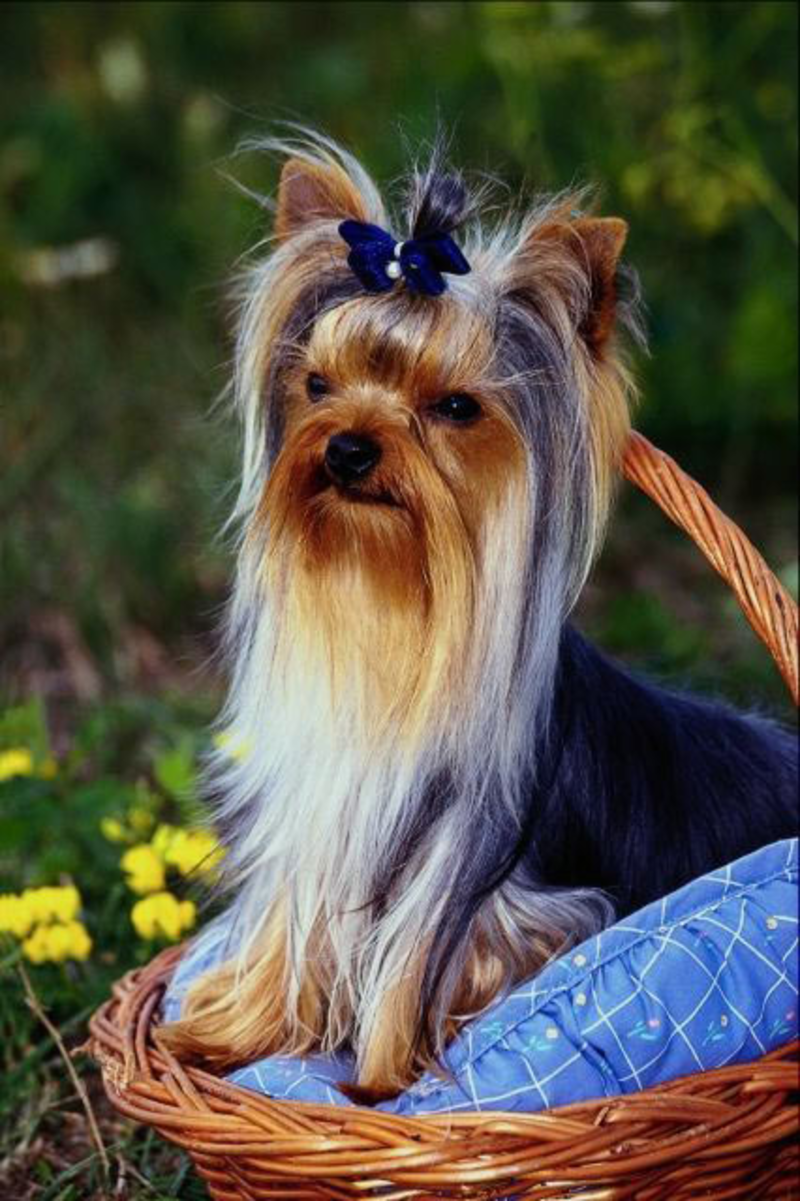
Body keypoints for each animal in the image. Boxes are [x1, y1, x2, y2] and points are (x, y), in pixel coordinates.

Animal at [158, 131, 792, 1100]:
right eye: (318, 383)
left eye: (457, 406)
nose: (346, 448)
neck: (393, 604)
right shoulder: (323, 820)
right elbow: (292, 927)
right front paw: (230, 1029)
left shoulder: (495, 893)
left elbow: (427, 959)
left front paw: (380, 1080)